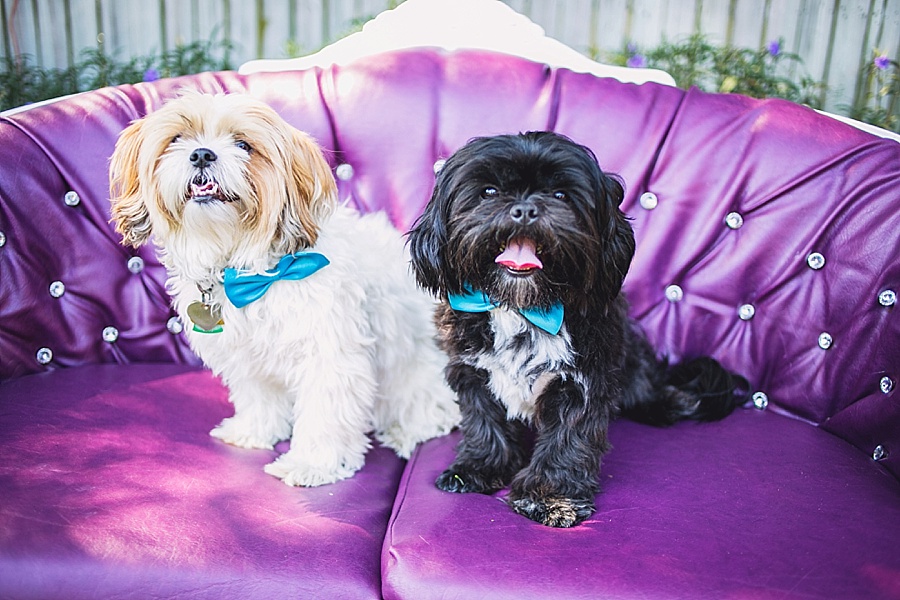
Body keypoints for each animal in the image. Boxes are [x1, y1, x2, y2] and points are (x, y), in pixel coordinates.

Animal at [110, 95, 458, 488]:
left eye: (243, 145)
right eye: (177, 138)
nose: (201, 154)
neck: (248, 270)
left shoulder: (329, 355)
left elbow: (324, 413)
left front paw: (312, 464)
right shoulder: (246, 356)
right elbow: (259, 397)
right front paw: (254, 431)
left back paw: (408, 429)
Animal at [406, 134, 744, 528]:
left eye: (561, 195)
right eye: (488, 191)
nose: (524, 209)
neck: (523, 307)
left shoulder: (582, 384)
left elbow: (567, 440)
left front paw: (550, 497)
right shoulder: (473, 373)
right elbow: (483, 422)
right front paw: (478, 467)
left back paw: (670, 402)